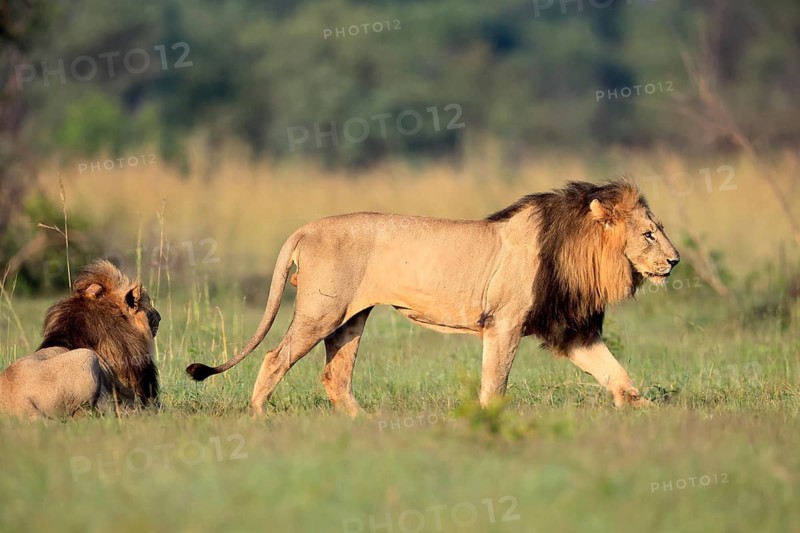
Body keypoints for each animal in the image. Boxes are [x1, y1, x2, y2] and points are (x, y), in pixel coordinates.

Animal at [187, 180, 679, 415]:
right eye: (649, 234)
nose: (675, 261)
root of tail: (306, 228)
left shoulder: (569, 328)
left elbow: (615, 372)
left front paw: (647, 408)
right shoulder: (504, 323)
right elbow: (495, 382)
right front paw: (493, 418)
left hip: (351, 318)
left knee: (335, 377)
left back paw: (367, 424)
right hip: (322, 310)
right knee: (275, 357)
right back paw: (258, 415)